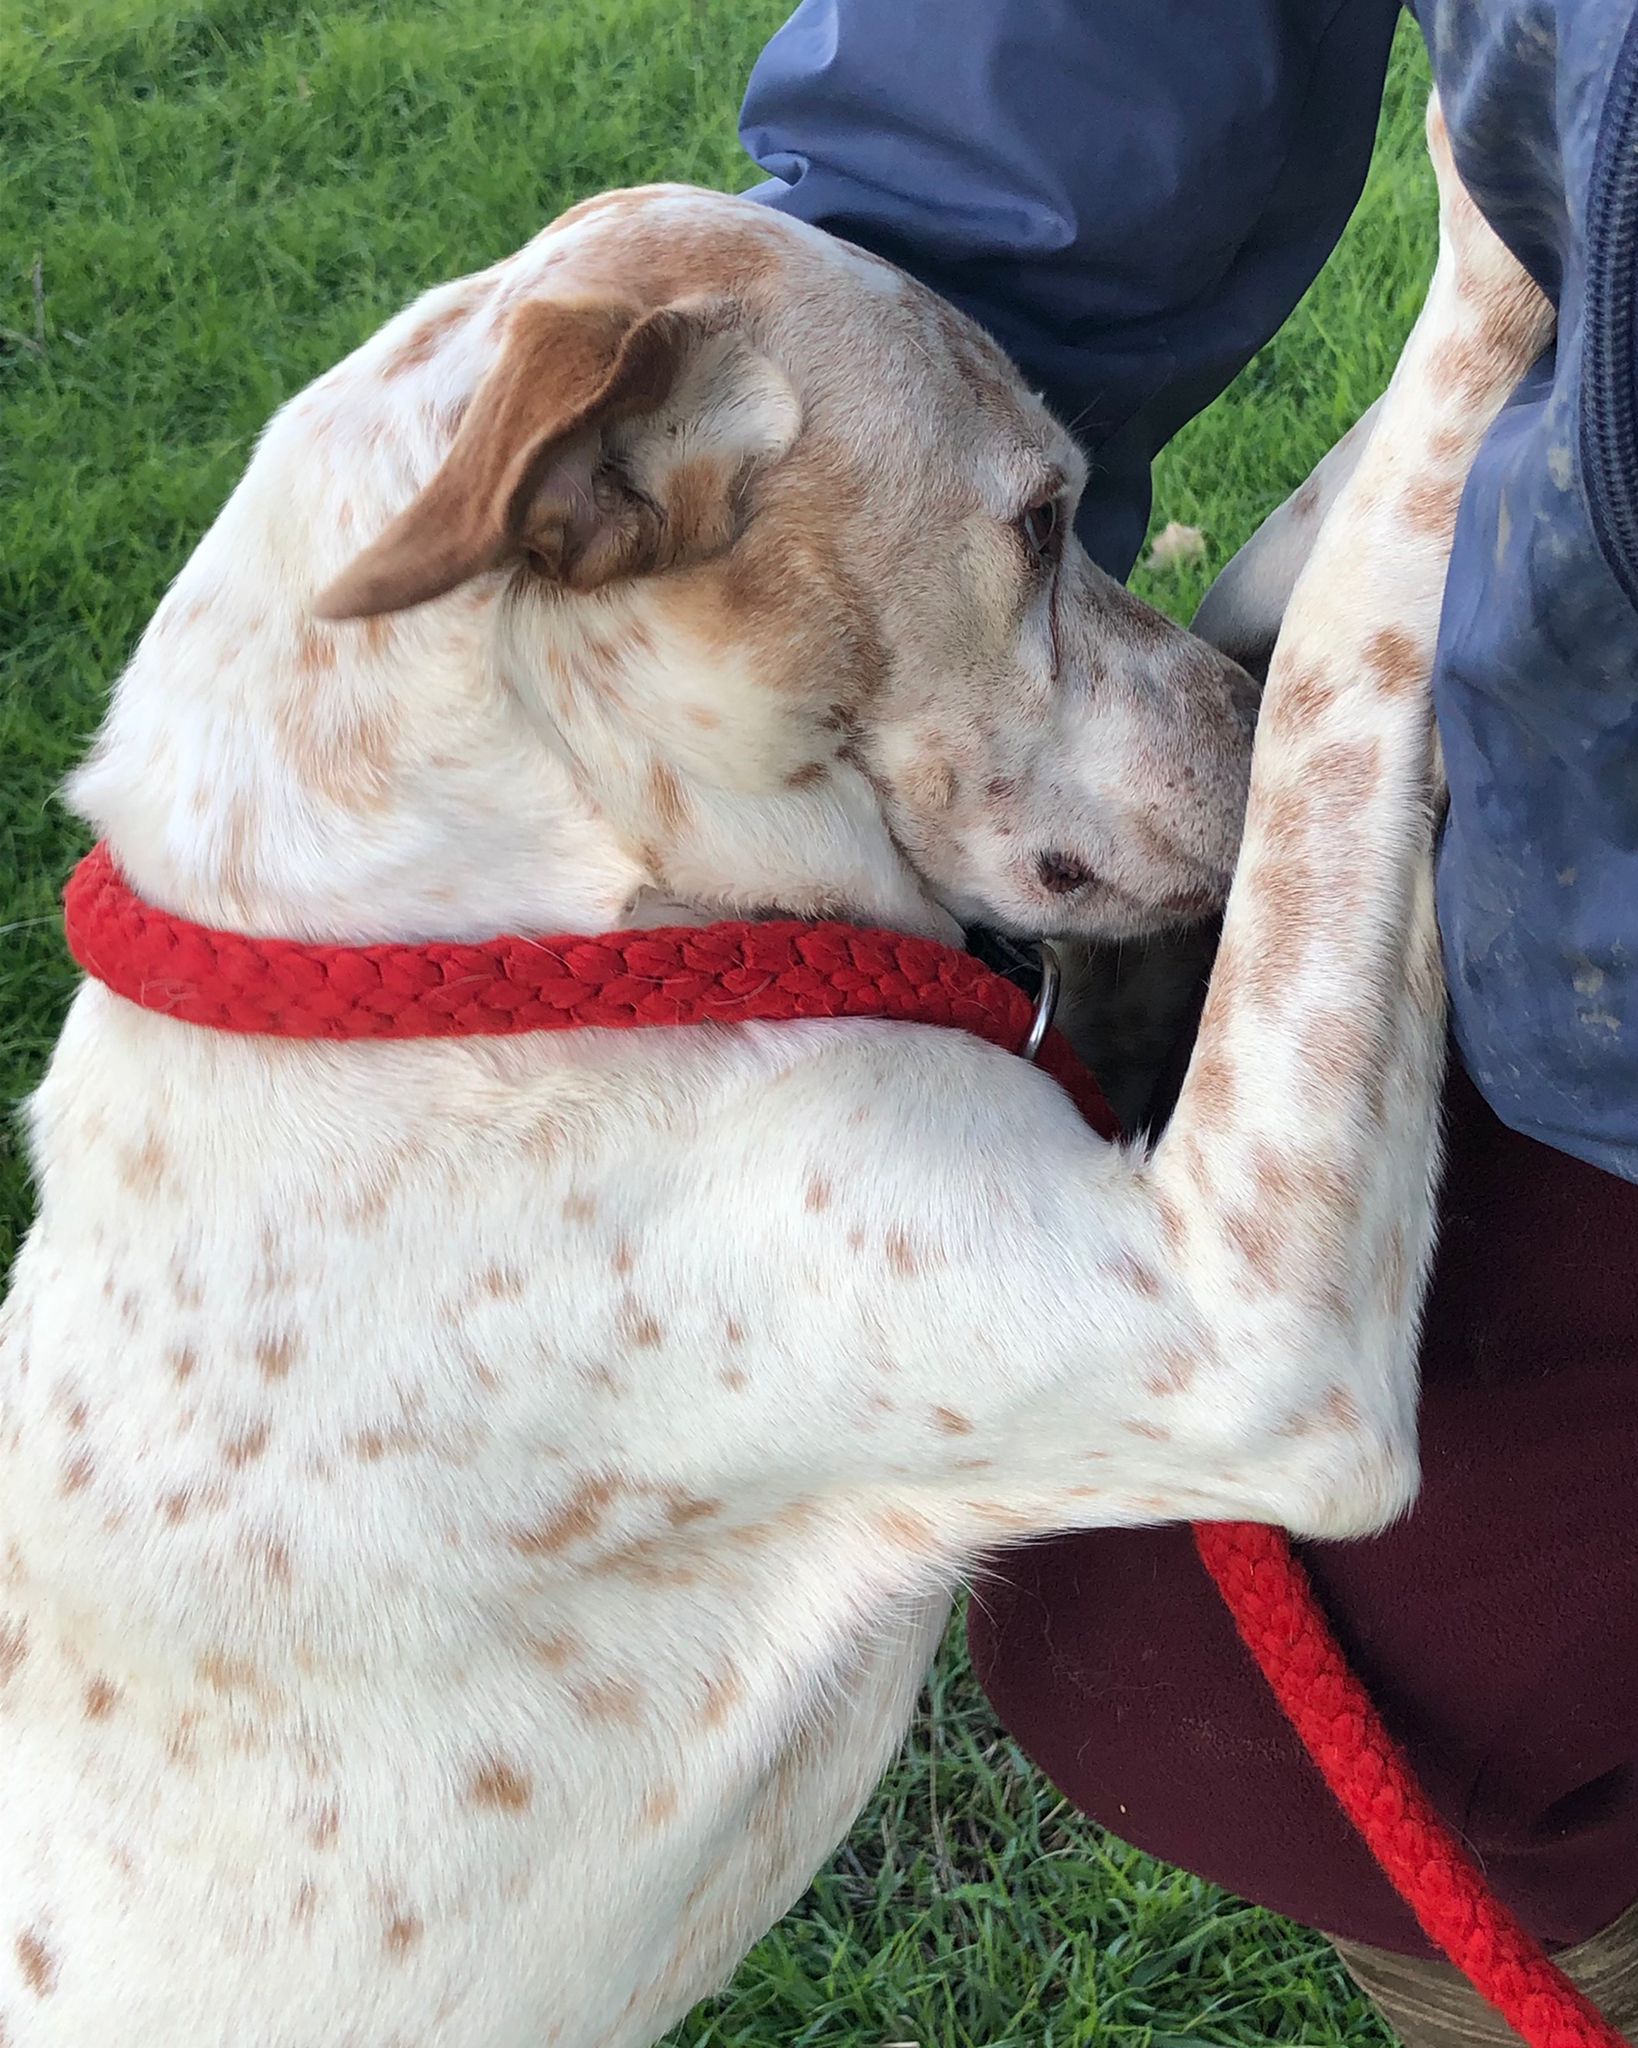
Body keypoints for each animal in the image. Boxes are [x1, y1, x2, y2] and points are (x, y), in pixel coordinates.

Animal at [0, 98, 1550, 2048]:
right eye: (1039, 519)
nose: (1224, 687)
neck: (488, 933)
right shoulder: (1253, 1328)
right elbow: (1356, 656)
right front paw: (1488, 222)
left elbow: (1333, 554)